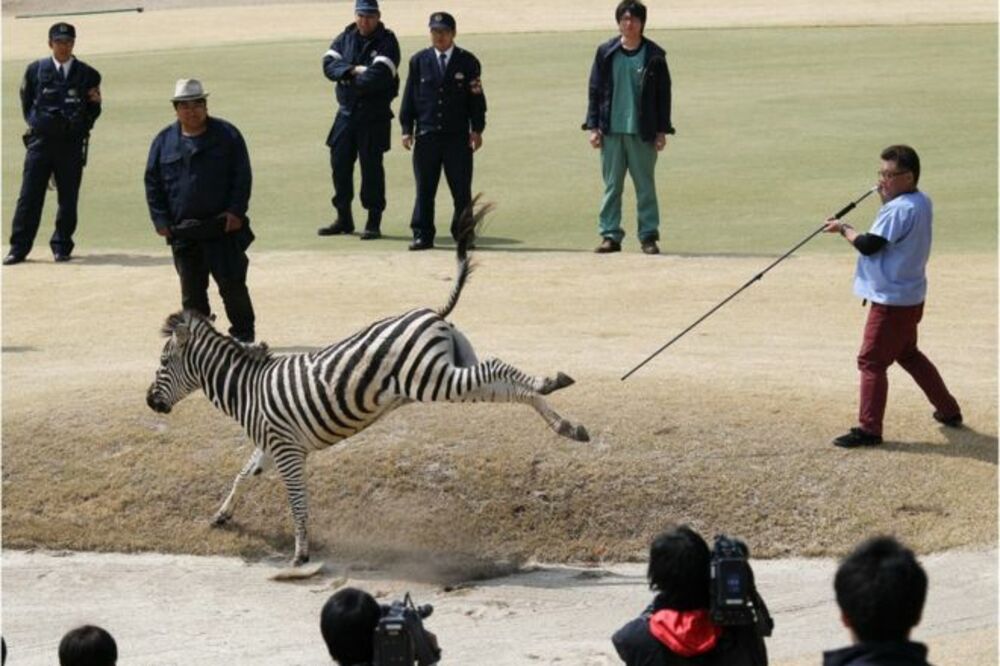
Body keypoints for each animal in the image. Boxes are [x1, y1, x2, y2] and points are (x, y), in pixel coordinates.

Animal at [146, 198, 589, 566]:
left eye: (163, 362)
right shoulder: (272, 445)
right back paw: (565, 421)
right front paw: (222, 515)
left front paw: (300, 554)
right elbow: (242, 475)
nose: (150, 401)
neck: (246, 389)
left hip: (432, 377)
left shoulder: (288, 451)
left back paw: (553, 383)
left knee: (499, 368)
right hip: (453, 372)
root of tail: (432, 312)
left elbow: (297, 501)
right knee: (508, 385)